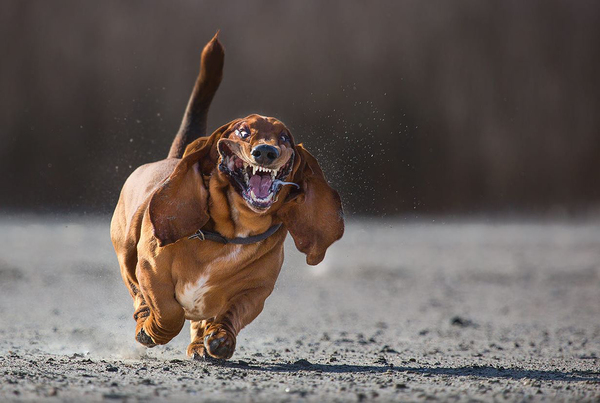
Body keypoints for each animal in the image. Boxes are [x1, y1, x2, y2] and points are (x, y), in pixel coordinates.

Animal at [108, 34, 342, 360]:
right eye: (243, 132)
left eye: (285, 138)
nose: (266, 151)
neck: (234, 230)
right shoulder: (151, 270)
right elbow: (168, 311)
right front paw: (154, 330)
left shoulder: (256, 291)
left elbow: (233, 312)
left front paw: (220, 337)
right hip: (125, 249)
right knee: (138, 294)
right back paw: (145, 322)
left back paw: (198, 343)